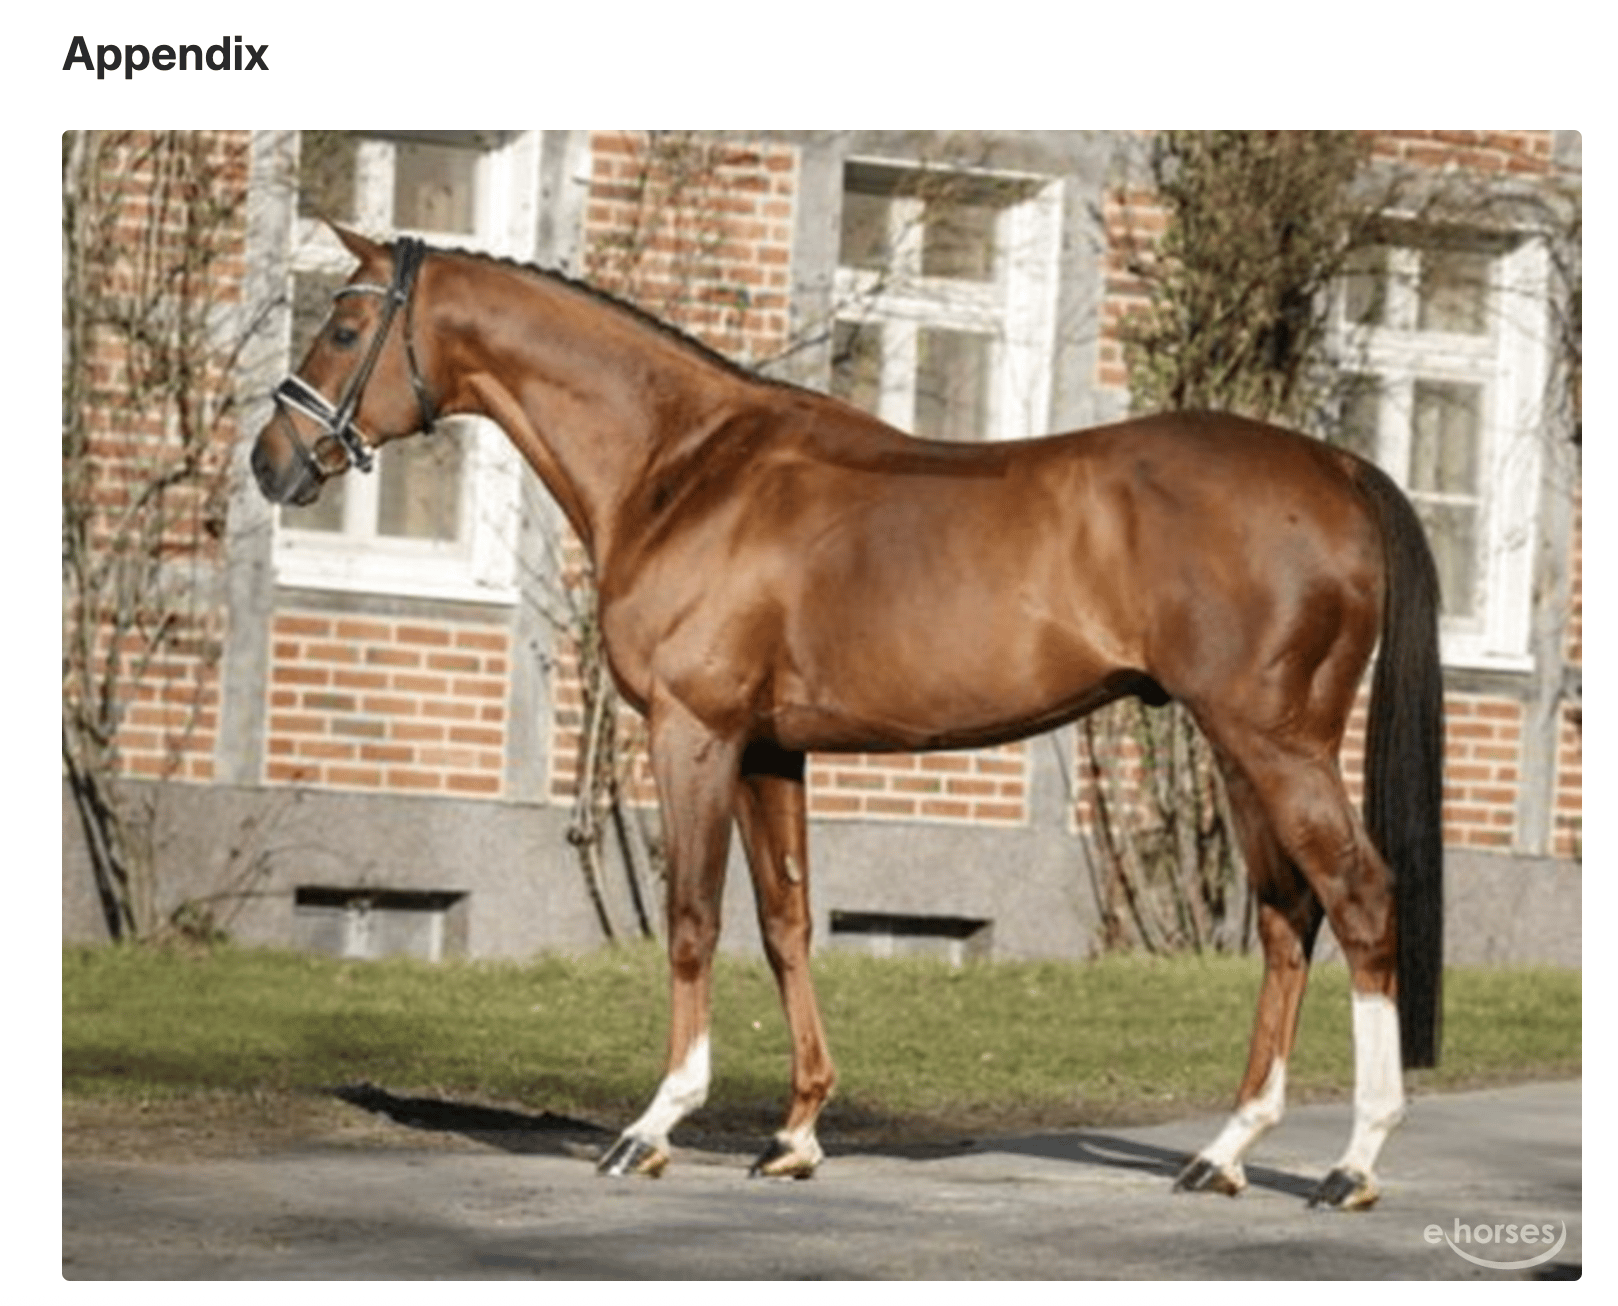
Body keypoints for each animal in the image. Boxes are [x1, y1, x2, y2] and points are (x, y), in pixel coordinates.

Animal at [251, 228, 1444, 1210]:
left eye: (344, 323)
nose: (272, 462)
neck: (684, 466)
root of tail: (1340, 465)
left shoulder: (694, 734)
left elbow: (692, 918)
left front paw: (654, 1124)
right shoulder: (773, 751)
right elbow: (785, 922)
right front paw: (795, 1132)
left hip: (1272, 742)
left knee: (1359, 896)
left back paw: (1353, 1163)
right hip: (1238, 748)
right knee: (1289, 917)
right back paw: (1227, 1150)